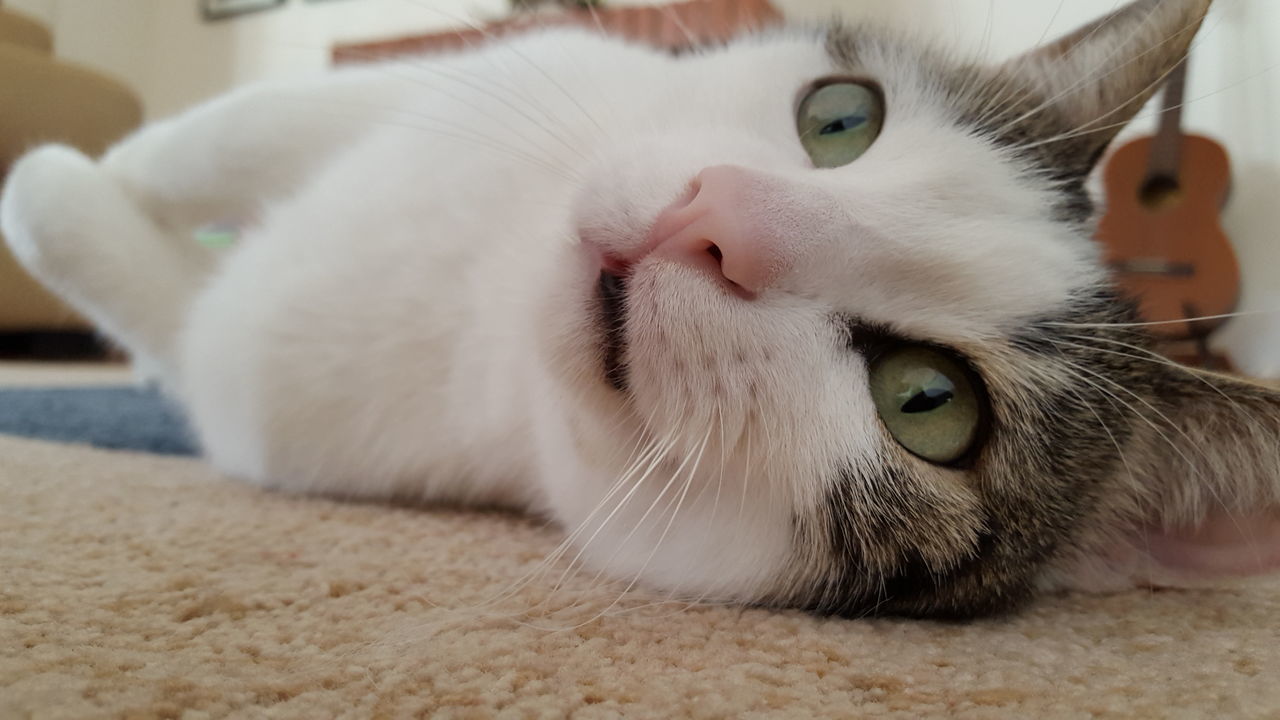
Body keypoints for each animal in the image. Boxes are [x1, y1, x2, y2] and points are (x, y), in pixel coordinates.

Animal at [2, 0, 1280, 617]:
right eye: (841, 117)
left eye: (927, 401)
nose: (716, 218)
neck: (488, 291)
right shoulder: (504, 72)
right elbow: (247, 122)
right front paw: (138, 160)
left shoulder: (257, 392)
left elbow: (151, 286)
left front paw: (55, 181)